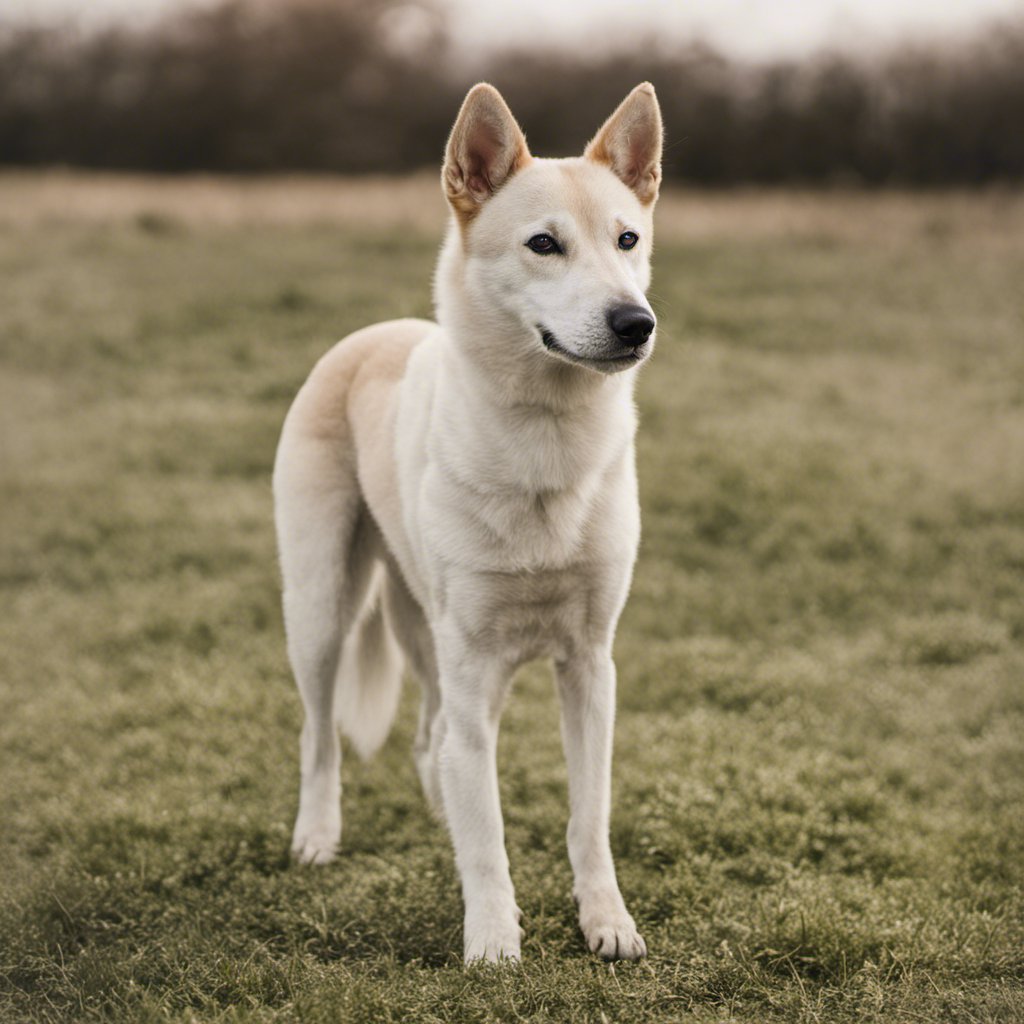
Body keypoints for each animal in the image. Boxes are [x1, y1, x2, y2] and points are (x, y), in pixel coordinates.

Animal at [272, 79, 663, 958]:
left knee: (433, 739)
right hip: (323, 610)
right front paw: (491, 944)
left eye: (628, 239)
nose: (636, 323)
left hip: (439, 641)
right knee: (321, 735)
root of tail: (377, 333)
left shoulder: (590, 667)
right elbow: (487, 831)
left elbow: (588, 816)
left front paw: (607, 921)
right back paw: (317, 835)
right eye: (543, 245)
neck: (547, 436)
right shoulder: (476, 659)